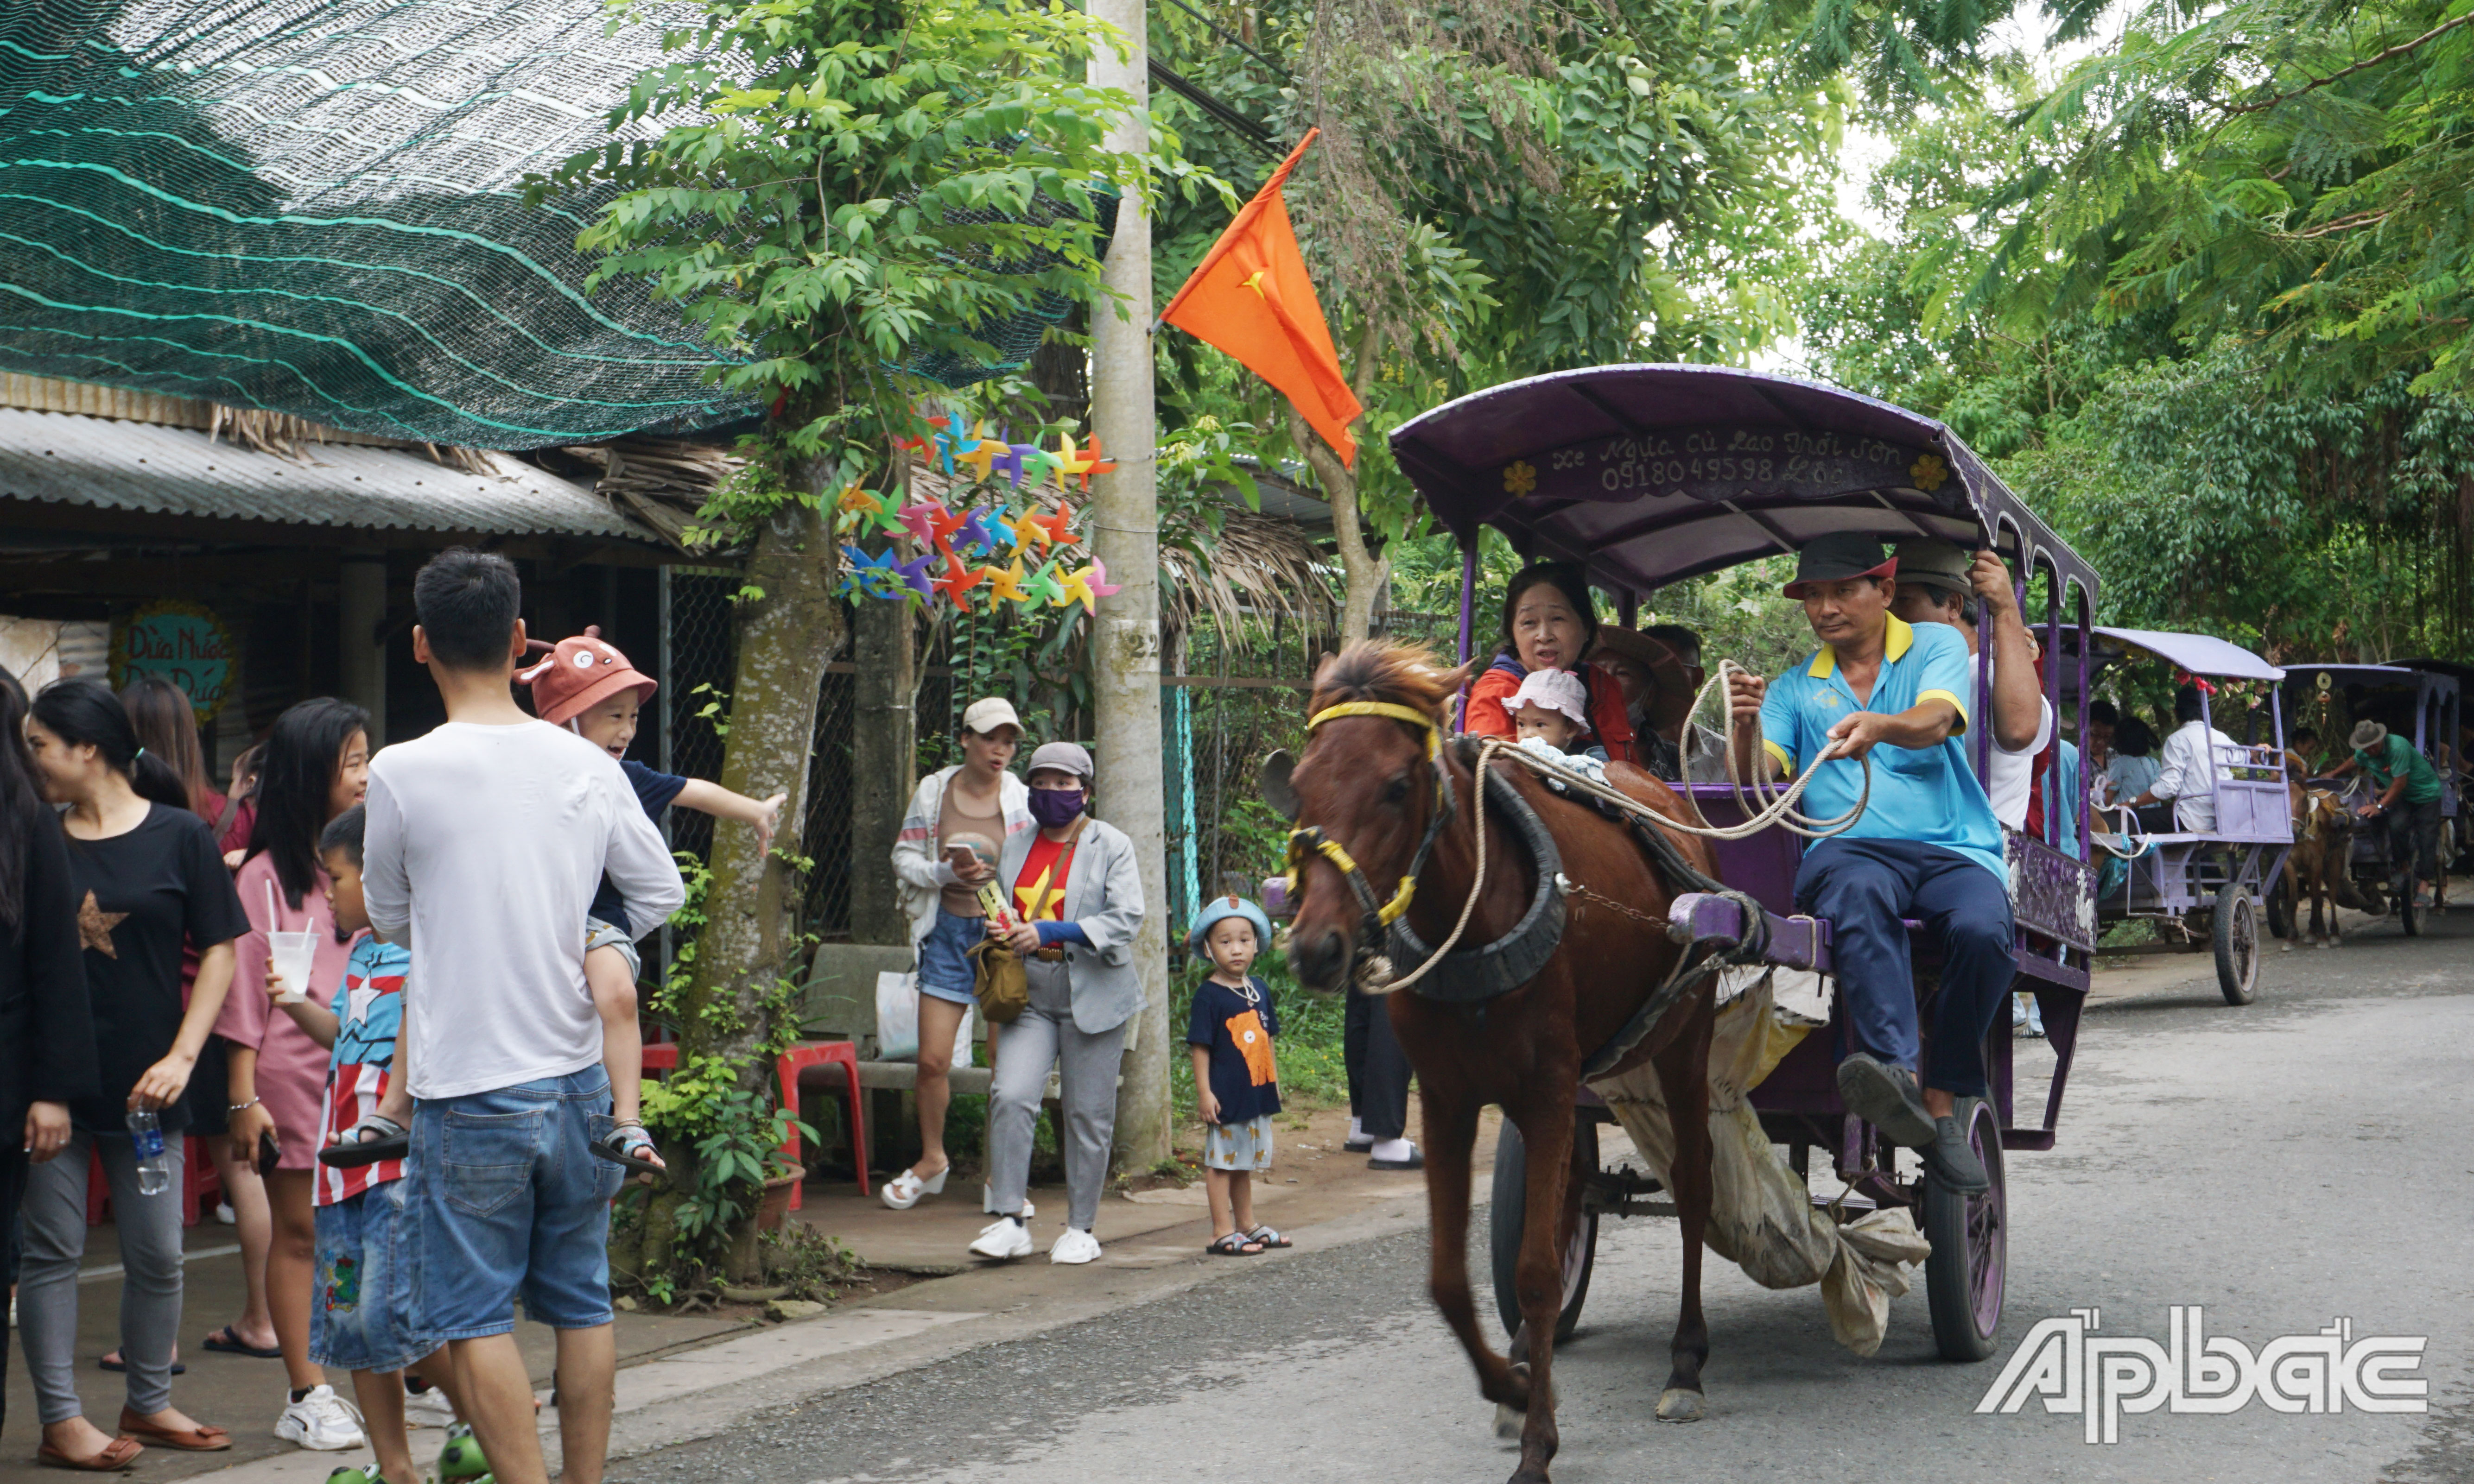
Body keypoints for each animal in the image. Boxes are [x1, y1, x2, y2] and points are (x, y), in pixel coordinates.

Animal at [1286, 648, 1732, 1484]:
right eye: (1297, 782)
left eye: (1397, 786)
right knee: (1571, 1198)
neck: (1474, 920)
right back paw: (1533, 1350)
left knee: (1694, 1190)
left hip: (1684, 1042)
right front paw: (1516, 1385)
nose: (1314, 948)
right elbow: (1449, 1278)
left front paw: (1537, 1441)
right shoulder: (1448, 1099)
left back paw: (1687, 1361)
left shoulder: (1547, 1089)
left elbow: (1532, 1273)